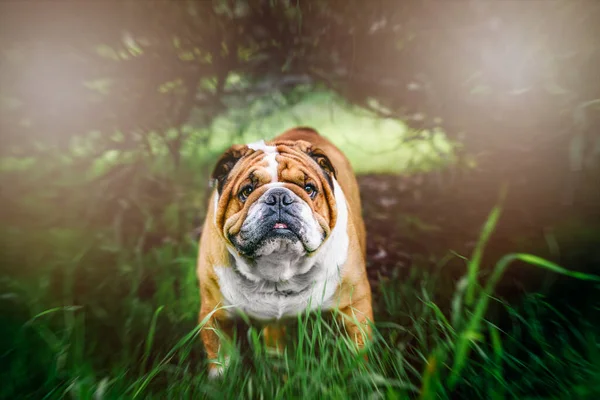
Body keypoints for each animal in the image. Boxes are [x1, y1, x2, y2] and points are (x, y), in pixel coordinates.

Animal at [197, 126, 372, 376]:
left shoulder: (355, 305)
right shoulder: (215, 313)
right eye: (246, 191)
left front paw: (360, 376)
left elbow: (358, 350)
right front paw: (222, 381)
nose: (278, 196)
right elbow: (221, 358)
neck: (279, 268)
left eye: (309, 188)